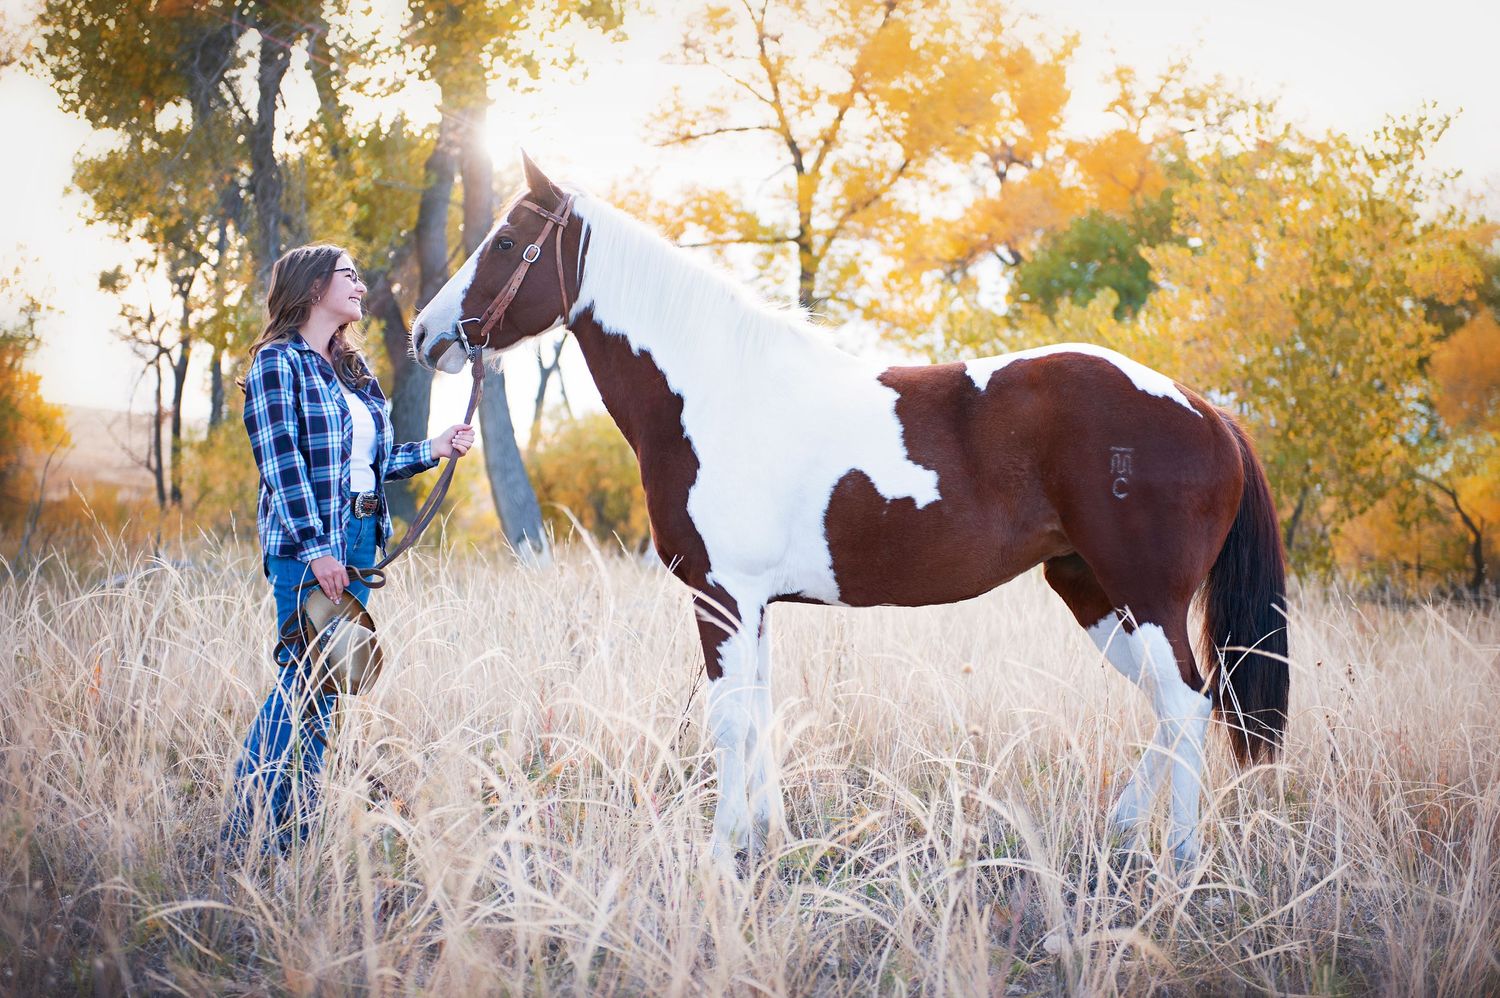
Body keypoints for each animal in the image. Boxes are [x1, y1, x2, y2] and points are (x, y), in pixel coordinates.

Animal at [410, 154, 1289, 868]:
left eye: (504, 243)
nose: (425, 335)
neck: (715, 391)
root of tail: (1210, 412)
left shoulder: (720, 596)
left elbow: (728, 722)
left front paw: (720, 857)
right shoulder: (752, 603)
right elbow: (758, 718)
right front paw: (763, 843)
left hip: (1145, 596)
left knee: (1186, 704)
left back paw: (1177, 864)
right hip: (1093, 592)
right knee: (1179, 707)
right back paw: (1126, 831)